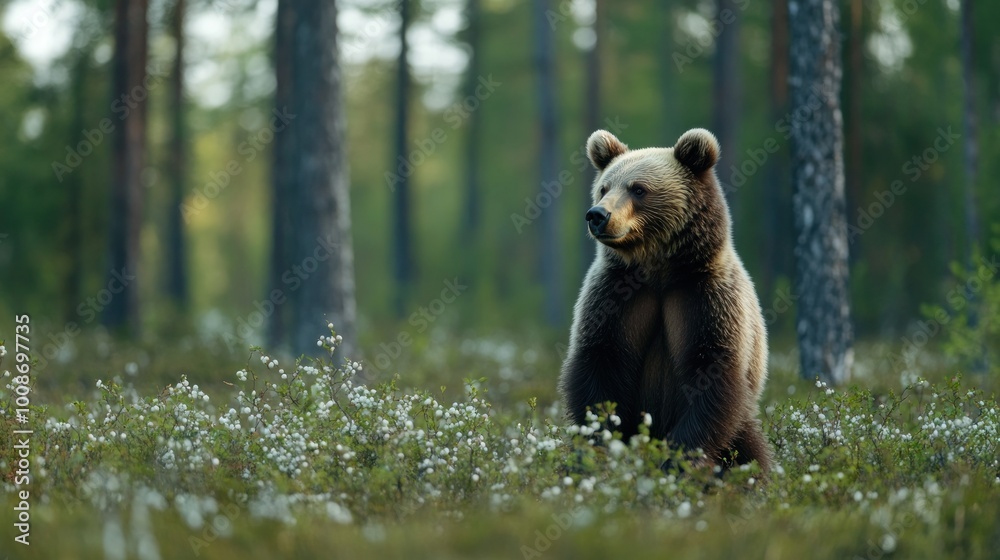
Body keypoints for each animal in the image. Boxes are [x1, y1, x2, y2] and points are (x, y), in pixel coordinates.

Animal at [559, 128, 772, 472]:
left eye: (638, 189)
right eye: (604, 187)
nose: (597, 215)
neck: (657, 269)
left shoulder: (703, 297)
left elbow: (711, 372)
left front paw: (678, 460)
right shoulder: (615, 296)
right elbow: (599, 364)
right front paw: (604, 449)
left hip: (741, 425)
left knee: (749, 451)